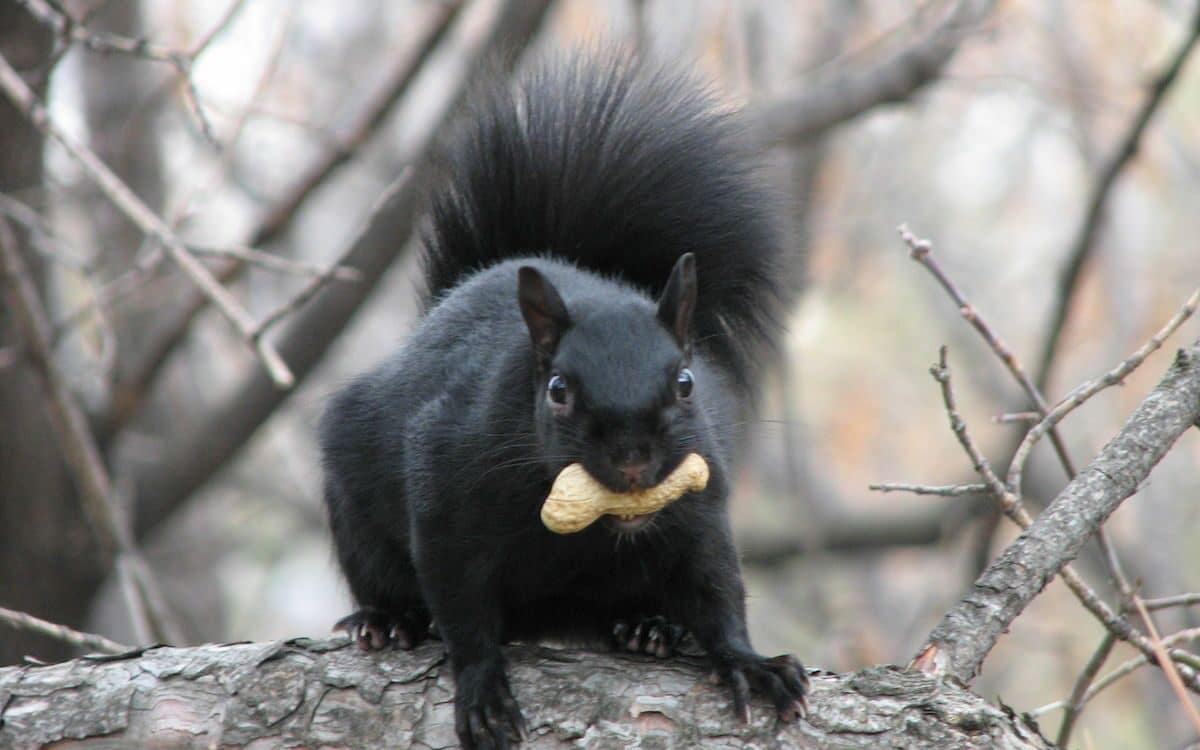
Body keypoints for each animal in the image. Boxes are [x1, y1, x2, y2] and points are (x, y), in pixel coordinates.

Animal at [319, 52, 806, 748]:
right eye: (558, 391)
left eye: (686, 383)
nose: (632, 459)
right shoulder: (445, 486)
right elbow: (462, 604)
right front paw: (483, 689)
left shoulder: (699, 501)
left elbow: (716, 584)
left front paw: (749, 663)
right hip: (355, 503)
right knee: (384, 572)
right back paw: (387, 620)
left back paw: (650, 628)